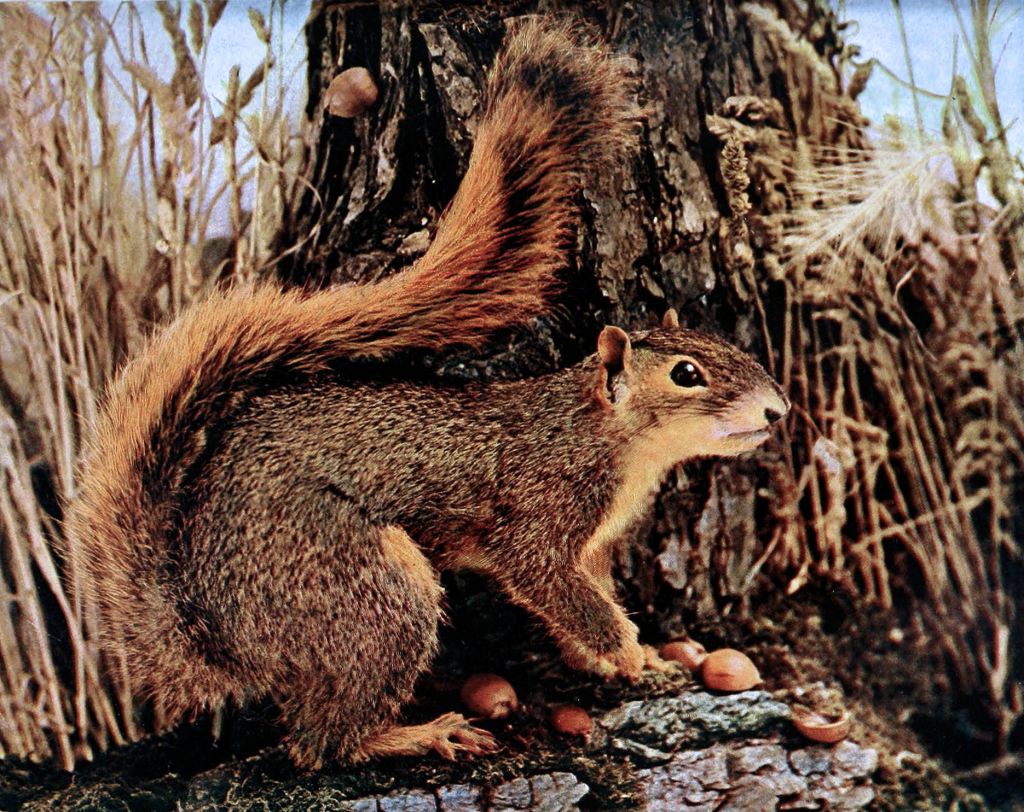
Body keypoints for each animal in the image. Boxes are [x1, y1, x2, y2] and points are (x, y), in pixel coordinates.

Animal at [68, 19, 789, 770]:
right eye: (686, 373)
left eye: (726, 345)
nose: (777, 409)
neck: (608, 437)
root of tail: (217, 638)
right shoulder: (540, 513)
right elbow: (550, 583)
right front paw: (631, 657)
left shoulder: (590, 545)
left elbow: (581, 602)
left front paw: (625, 658)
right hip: (366, 591)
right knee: (322, 745)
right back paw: (418, 733)